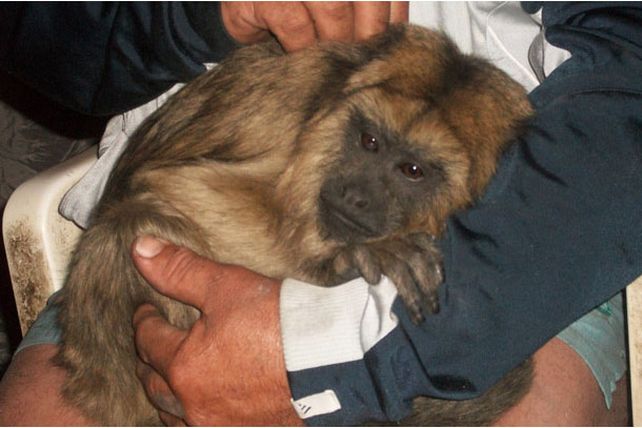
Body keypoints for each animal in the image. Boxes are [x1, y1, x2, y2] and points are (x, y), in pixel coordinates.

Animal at [55, 24, 533, 426]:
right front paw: (346, 261)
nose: (355, 195)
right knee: (133, 222)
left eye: (412, 171)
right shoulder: (292, 93)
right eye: (369, 142)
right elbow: (171, 184)